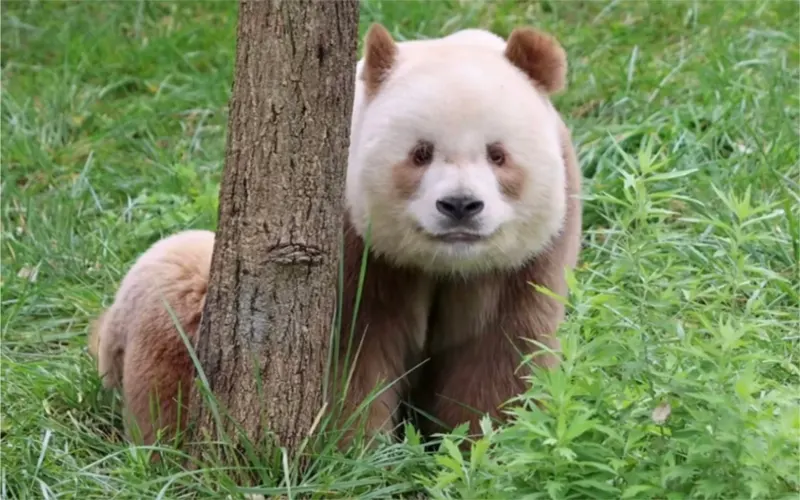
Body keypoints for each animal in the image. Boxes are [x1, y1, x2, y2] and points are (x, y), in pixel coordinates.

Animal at [88, 24, 582, 450]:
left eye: (498, 155)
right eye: (420, 153)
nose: (460, 206)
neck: (445, 265)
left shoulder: (523, 265)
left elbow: (501, 359)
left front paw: (480, 444)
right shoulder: (354, 246)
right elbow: (351, 358)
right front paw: (358, 450)